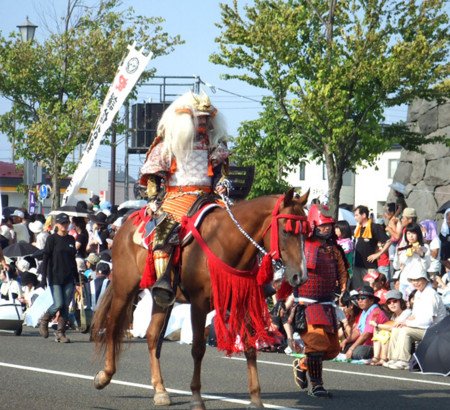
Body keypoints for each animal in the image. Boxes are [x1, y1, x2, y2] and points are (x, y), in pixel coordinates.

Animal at [92, 188, 310, 406]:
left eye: (306, 233)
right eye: (286, 231)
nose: (300, 276)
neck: (224, 242)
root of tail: (126, 225)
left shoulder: (240, 302)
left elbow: (250, 347)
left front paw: (256, 399)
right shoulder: (199, 304)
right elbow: (198, 349)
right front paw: (196, 397)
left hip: (160, 298)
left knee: (152, 335)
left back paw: (160, 389)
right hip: (125, 288)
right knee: (112, 326)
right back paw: (104, 375)